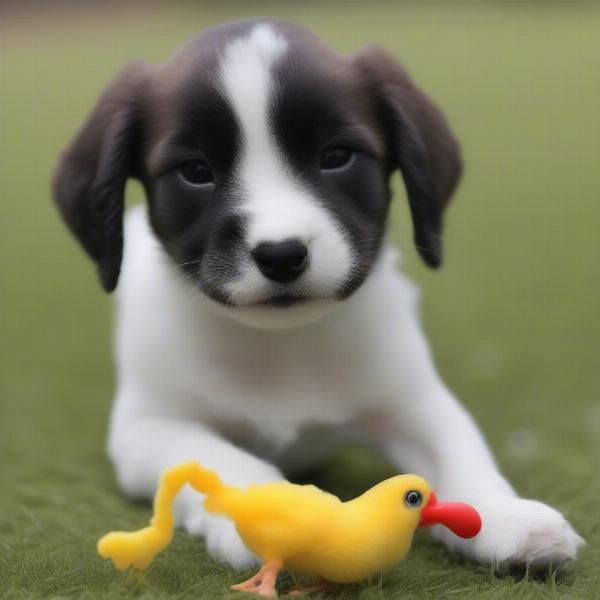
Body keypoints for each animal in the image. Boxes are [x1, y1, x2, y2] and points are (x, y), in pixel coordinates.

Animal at [52, 18, 580, 568]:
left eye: (337, 157)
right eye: (195, 171)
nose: (281, 254)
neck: (282, 345)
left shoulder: (413, 403)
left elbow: (461, 451)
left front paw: (503, 514)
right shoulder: (150, 426)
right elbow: (225, 461)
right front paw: (268, 515)